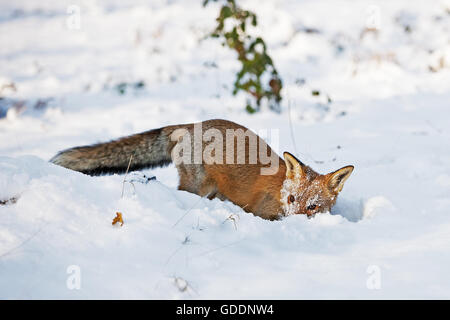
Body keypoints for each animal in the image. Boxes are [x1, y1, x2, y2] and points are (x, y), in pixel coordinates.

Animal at [49, 119, 352, 221]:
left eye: (312, 206)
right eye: (291, 199)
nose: (294, 221)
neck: (278, 191)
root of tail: (189, 125)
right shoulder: (260, 212)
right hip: (196, 186)